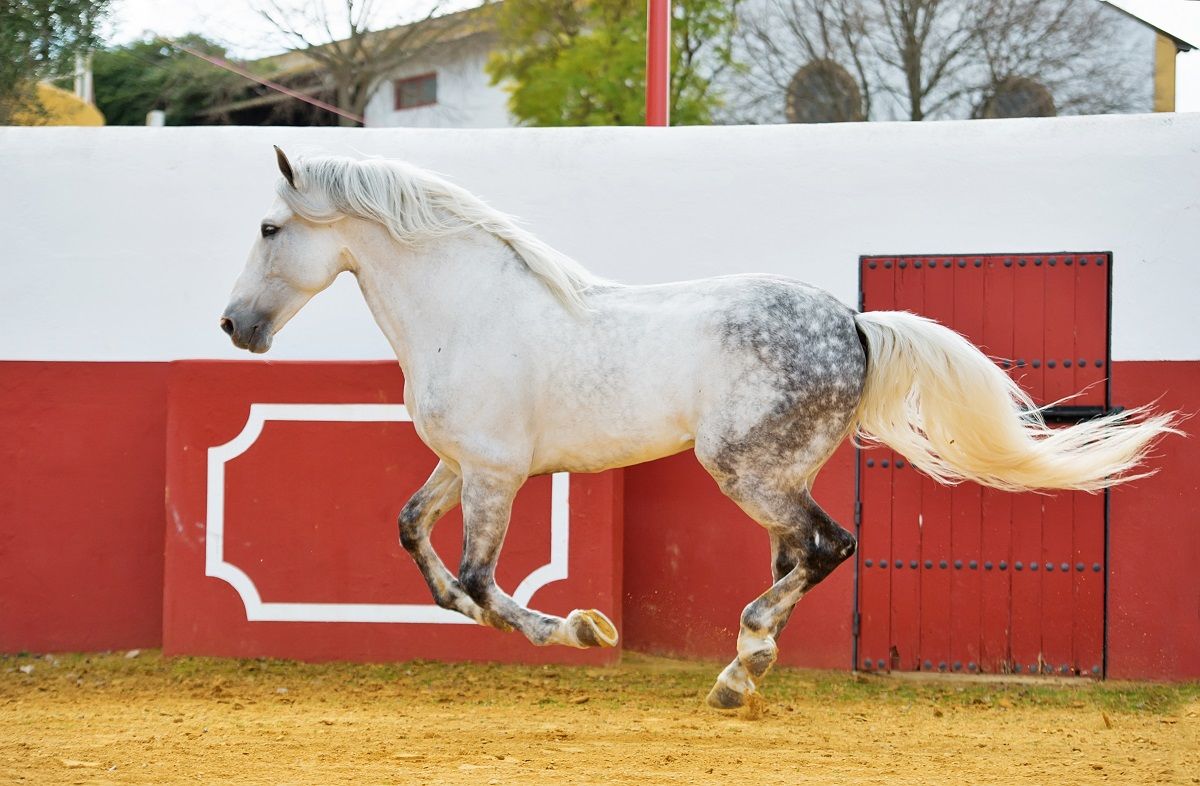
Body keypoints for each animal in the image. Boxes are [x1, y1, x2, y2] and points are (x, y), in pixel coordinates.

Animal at [220, 146, 1177, 709]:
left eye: (269, 227)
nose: (235, 327)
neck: (468, 308)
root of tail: (855, 321)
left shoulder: (496, 471)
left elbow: (483, 581)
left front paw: (584, 631)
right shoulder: (461, 464)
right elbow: (418, 541)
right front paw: (518, 620)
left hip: (745, 469)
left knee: (828, 546)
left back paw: (739, 668)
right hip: (779, 473)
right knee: (801, 554)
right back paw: (745, 668)